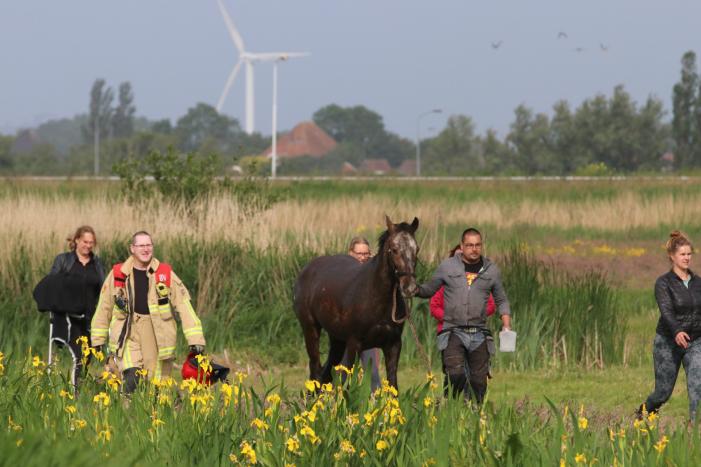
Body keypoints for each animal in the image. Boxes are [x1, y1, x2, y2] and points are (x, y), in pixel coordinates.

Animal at [293, 216, 419, 389]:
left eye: (416, 249)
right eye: (394, 249)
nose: (410, 287)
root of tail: (306, 271)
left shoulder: (393, 345)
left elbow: (393, 386)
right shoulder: (354, 344)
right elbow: (347, 384)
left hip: (337, 340)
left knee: (325, 373)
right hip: (310, 330)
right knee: (315, 371)